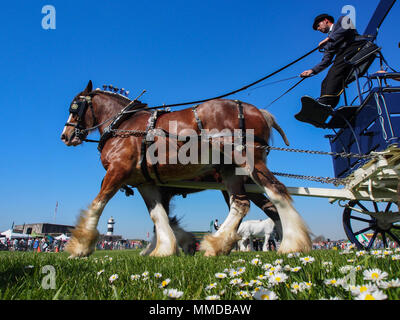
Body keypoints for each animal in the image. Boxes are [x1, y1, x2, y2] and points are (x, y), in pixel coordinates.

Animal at [60, 80, 312, 258]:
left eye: (75, 107)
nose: (65, 135)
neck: (124, 126)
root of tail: (260, 111)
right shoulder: (146, 182)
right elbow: (159, 216)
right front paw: (165, 248)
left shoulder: (117, 171)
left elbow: (98, 204)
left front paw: (80, 246)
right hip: (232, 172)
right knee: (242, 204)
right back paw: (217, 244)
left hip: (249, 163)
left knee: (276, 192)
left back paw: (290, 244)